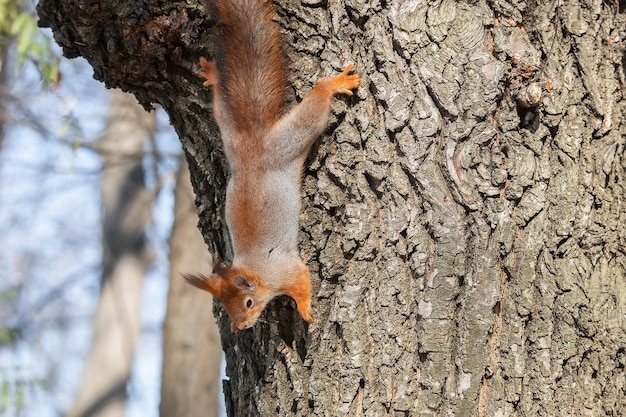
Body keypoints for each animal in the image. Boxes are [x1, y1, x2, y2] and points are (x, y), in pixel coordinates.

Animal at [183, 0, 358, 332]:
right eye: (225, 308)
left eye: (248, 303)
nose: (241, 327)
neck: (257, 271)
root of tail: (254, 142)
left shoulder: (285, 269)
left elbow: (302, 281)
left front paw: (305, 309)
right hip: (229, 137)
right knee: (220, 108)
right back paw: (214, 76)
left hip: (288, 141)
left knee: (316, 103)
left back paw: (334, 84)